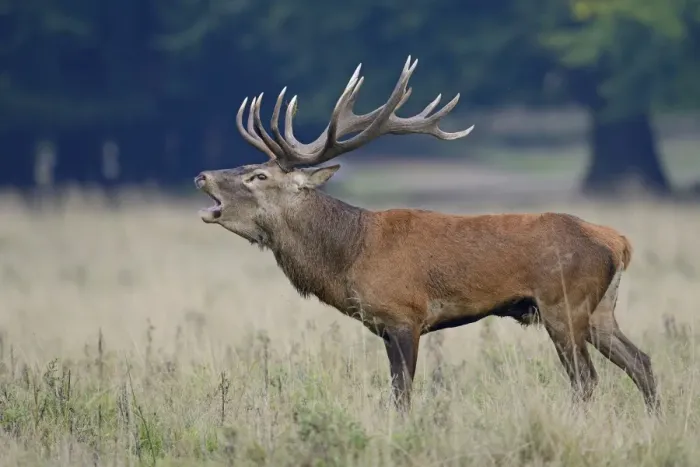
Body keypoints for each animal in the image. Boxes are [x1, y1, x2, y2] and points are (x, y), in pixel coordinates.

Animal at [194, 56, 659, 414]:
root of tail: (619, 242)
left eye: (258, 176)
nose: (202, 175)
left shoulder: (404, 315)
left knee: (587, 379)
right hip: (600, 311)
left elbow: (401, 395)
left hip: (564, 303)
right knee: (642, 362)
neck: (349, 255)